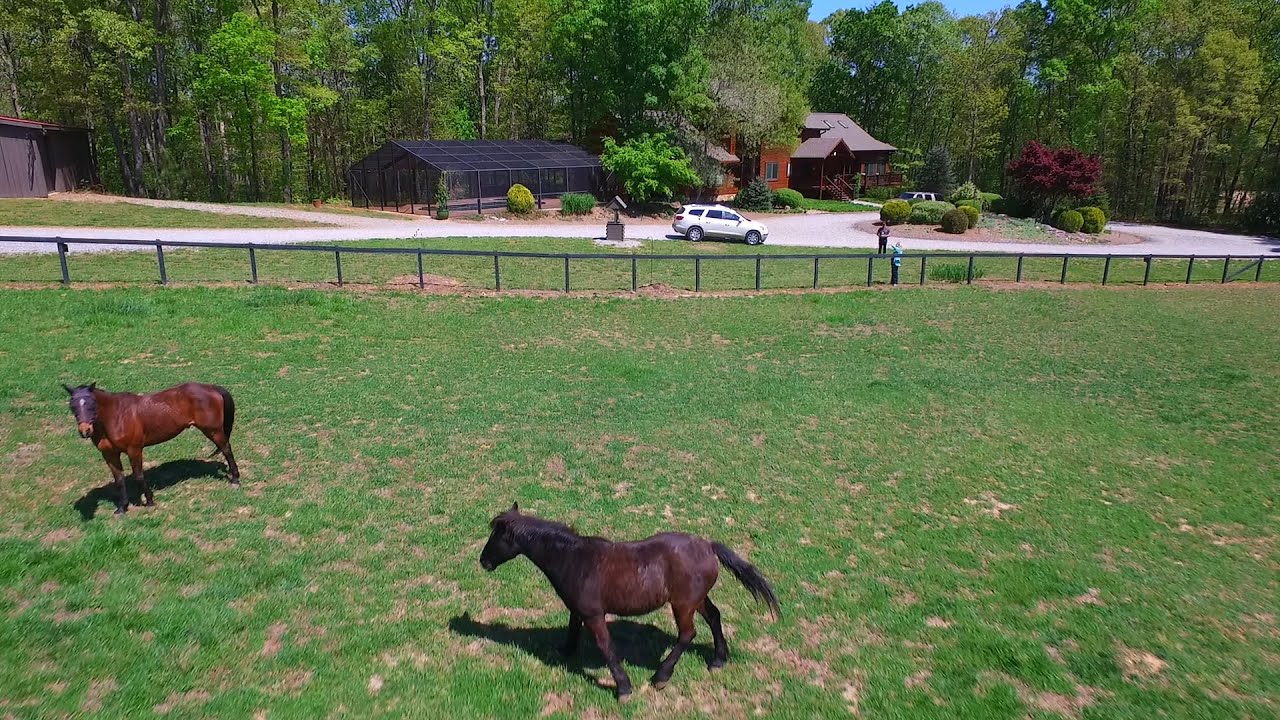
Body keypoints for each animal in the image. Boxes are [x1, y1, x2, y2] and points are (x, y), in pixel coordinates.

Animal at [63, 382, 239, 514]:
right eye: (72, 406)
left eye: (92, 404)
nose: (85, 431)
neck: (116, 416)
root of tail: (211, 387)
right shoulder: (109, 454)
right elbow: (119, 480)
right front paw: (122, 508)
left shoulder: (134, 450)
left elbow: (138, 476)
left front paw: (149, 502)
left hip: (214, 431)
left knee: (227, 450)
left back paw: (235, 479)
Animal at [479, 503, 781, 701]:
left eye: (496, 536)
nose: (483, 561)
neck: (574, 559)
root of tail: (708, 546)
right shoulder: (579, 610)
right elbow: (572, 630)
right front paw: (564, 652)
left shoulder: (594, 615)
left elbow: (606, 647)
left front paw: (623, 689)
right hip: (696, 599)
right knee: (715, 617)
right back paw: (718, 660)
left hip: (682, 605)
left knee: (688, 633)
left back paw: (661, 677)